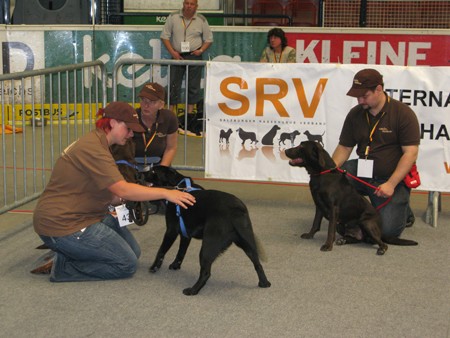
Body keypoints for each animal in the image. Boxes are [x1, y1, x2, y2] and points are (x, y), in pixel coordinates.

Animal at [145, 166, 270, 296]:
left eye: (153, 171)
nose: (140, 173)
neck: (177, 187)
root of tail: (236, 210)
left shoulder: (171, 231)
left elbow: (161, 251)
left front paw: (154, 267)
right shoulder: (185, 235)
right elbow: (181, 252)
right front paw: (175, 265)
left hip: (207, 247)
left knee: (206, 273)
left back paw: (192, 290)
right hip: (247, 243)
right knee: (258, 264)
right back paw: (264, 283)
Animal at [284, 141, 418, 255]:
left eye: (301, 146)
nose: (285, 150)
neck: (322, 174)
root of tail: (380, 231)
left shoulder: (334, 209)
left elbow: (330, 230)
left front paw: (328, 245)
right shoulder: (319, 206)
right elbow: (315, 223)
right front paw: (310, 235)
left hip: (366, 223)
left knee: (381, 243)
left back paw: (381, 249)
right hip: (341, 224)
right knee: (360, 239)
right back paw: (343, 240)